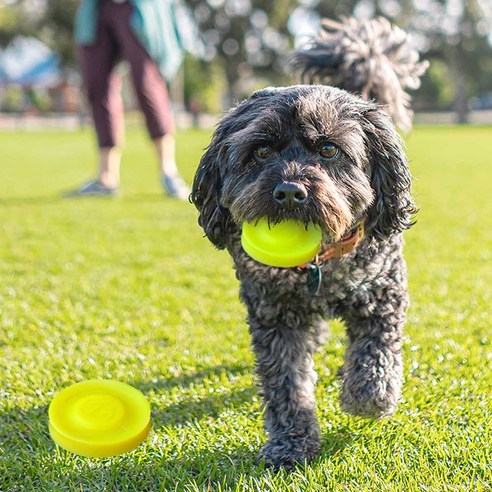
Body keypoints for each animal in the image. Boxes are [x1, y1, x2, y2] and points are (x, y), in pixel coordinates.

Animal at [190, 16, 428, 468]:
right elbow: (287, 386)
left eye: (329, 149)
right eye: (261, 150)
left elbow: (376, 352)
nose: (289, 191)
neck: (321, 263)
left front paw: (367, 396)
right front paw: (289, 444)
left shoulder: (384, 291)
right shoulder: (275, 316)